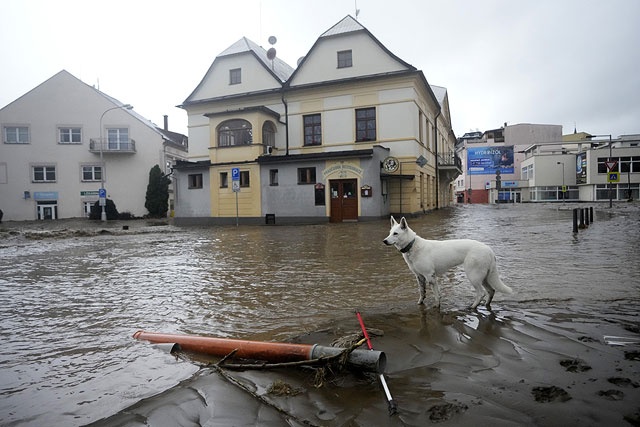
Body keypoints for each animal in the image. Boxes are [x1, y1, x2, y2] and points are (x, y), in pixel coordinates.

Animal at [382, 216, 512, 310]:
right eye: (389, 232)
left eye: (395, 233)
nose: (384, 241)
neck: (412, 245)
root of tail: (489, 250)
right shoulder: (420, 277)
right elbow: (422, 292)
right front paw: (420, 303)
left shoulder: (430, 276)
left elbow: (436, 294)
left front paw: (437, 306)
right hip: (484, 277)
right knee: (491, 291)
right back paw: (486, 305)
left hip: (473, 276)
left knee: (481, 293)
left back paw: (473, 306)